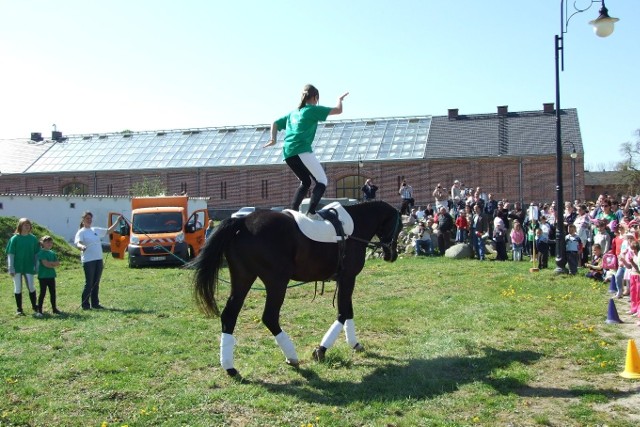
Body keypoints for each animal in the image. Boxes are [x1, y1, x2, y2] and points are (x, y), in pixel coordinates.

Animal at [192, 201, 400, 378]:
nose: (391, 255)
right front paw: (321, 350)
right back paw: (292, 356)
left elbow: (348, 311)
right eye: (399, 227)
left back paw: (230, 367)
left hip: (243, 278)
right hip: (277, 282)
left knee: (229, 315)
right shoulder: (348, 277)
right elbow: (343, 313)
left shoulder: (345, 279)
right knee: (270, 317)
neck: (354, 226)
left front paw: (354, 343)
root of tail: (243, 221)